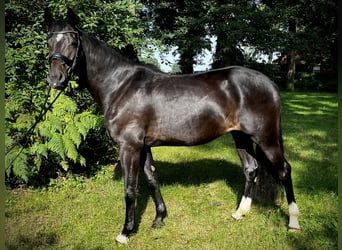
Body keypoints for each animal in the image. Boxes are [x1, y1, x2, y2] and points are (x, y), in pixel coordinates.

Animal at [44, 8, 300, 243]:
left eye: (73, 42)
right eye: (48, 42)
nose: (55, 79)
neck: (120, 85)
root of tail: (269, 83)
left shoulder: (129, 147)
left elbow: (130, 189)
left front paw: (126, 232)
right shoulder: (143, 146)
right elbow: (151, 179)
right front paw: (159, 218)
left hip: (265, 137)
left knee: (284, 171)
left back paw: (294, 223)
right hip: (241, 136)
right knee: (251, 168)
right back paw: (240, 212)